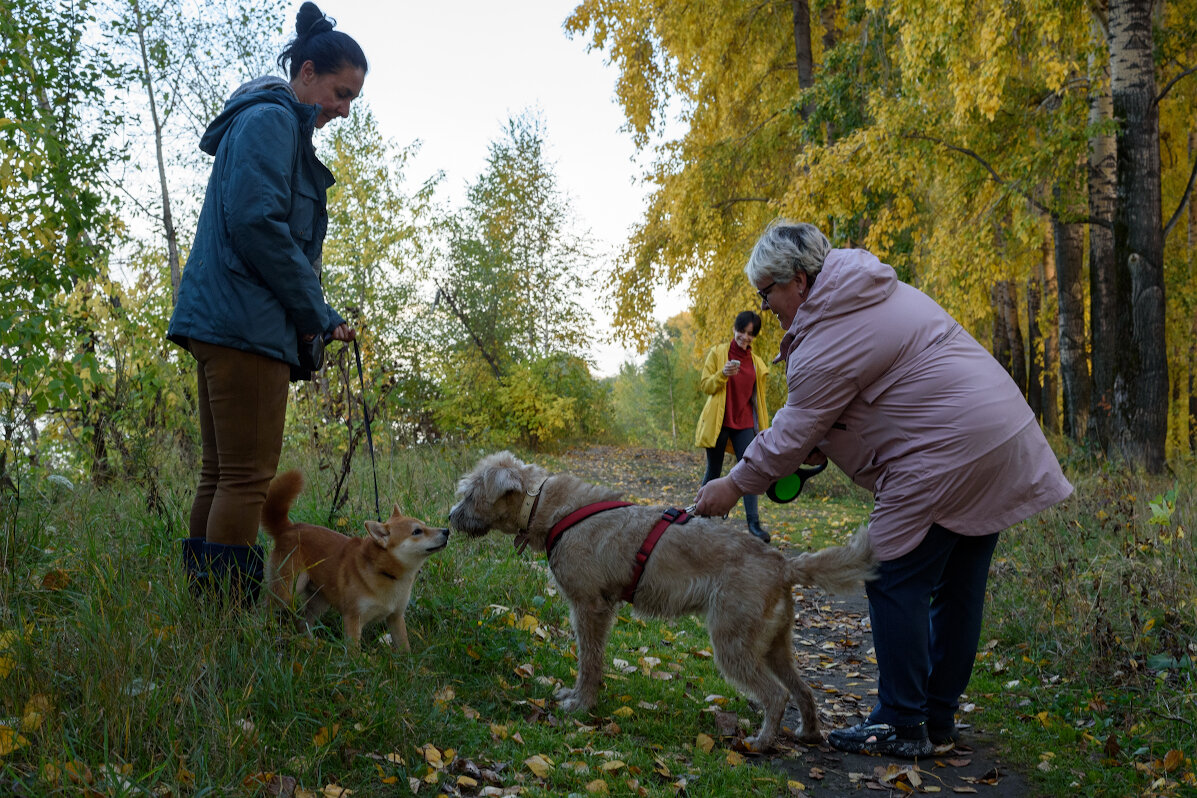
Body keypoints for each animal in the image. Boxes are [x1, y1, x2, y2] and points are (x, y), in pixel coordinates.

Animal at [262, 471, 450, 650]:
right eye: (417, 532)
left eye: (425, 525)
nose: (447, 531)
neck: (384, 572)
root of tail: (289, 528)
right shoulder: (353, 618)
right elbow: (354, 652)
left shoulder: (395, 618)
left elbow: (405, 648)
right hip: (286, 592)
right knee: (265, 609)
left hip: (320, 600)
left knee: (302, 622)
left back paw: (312, 644)